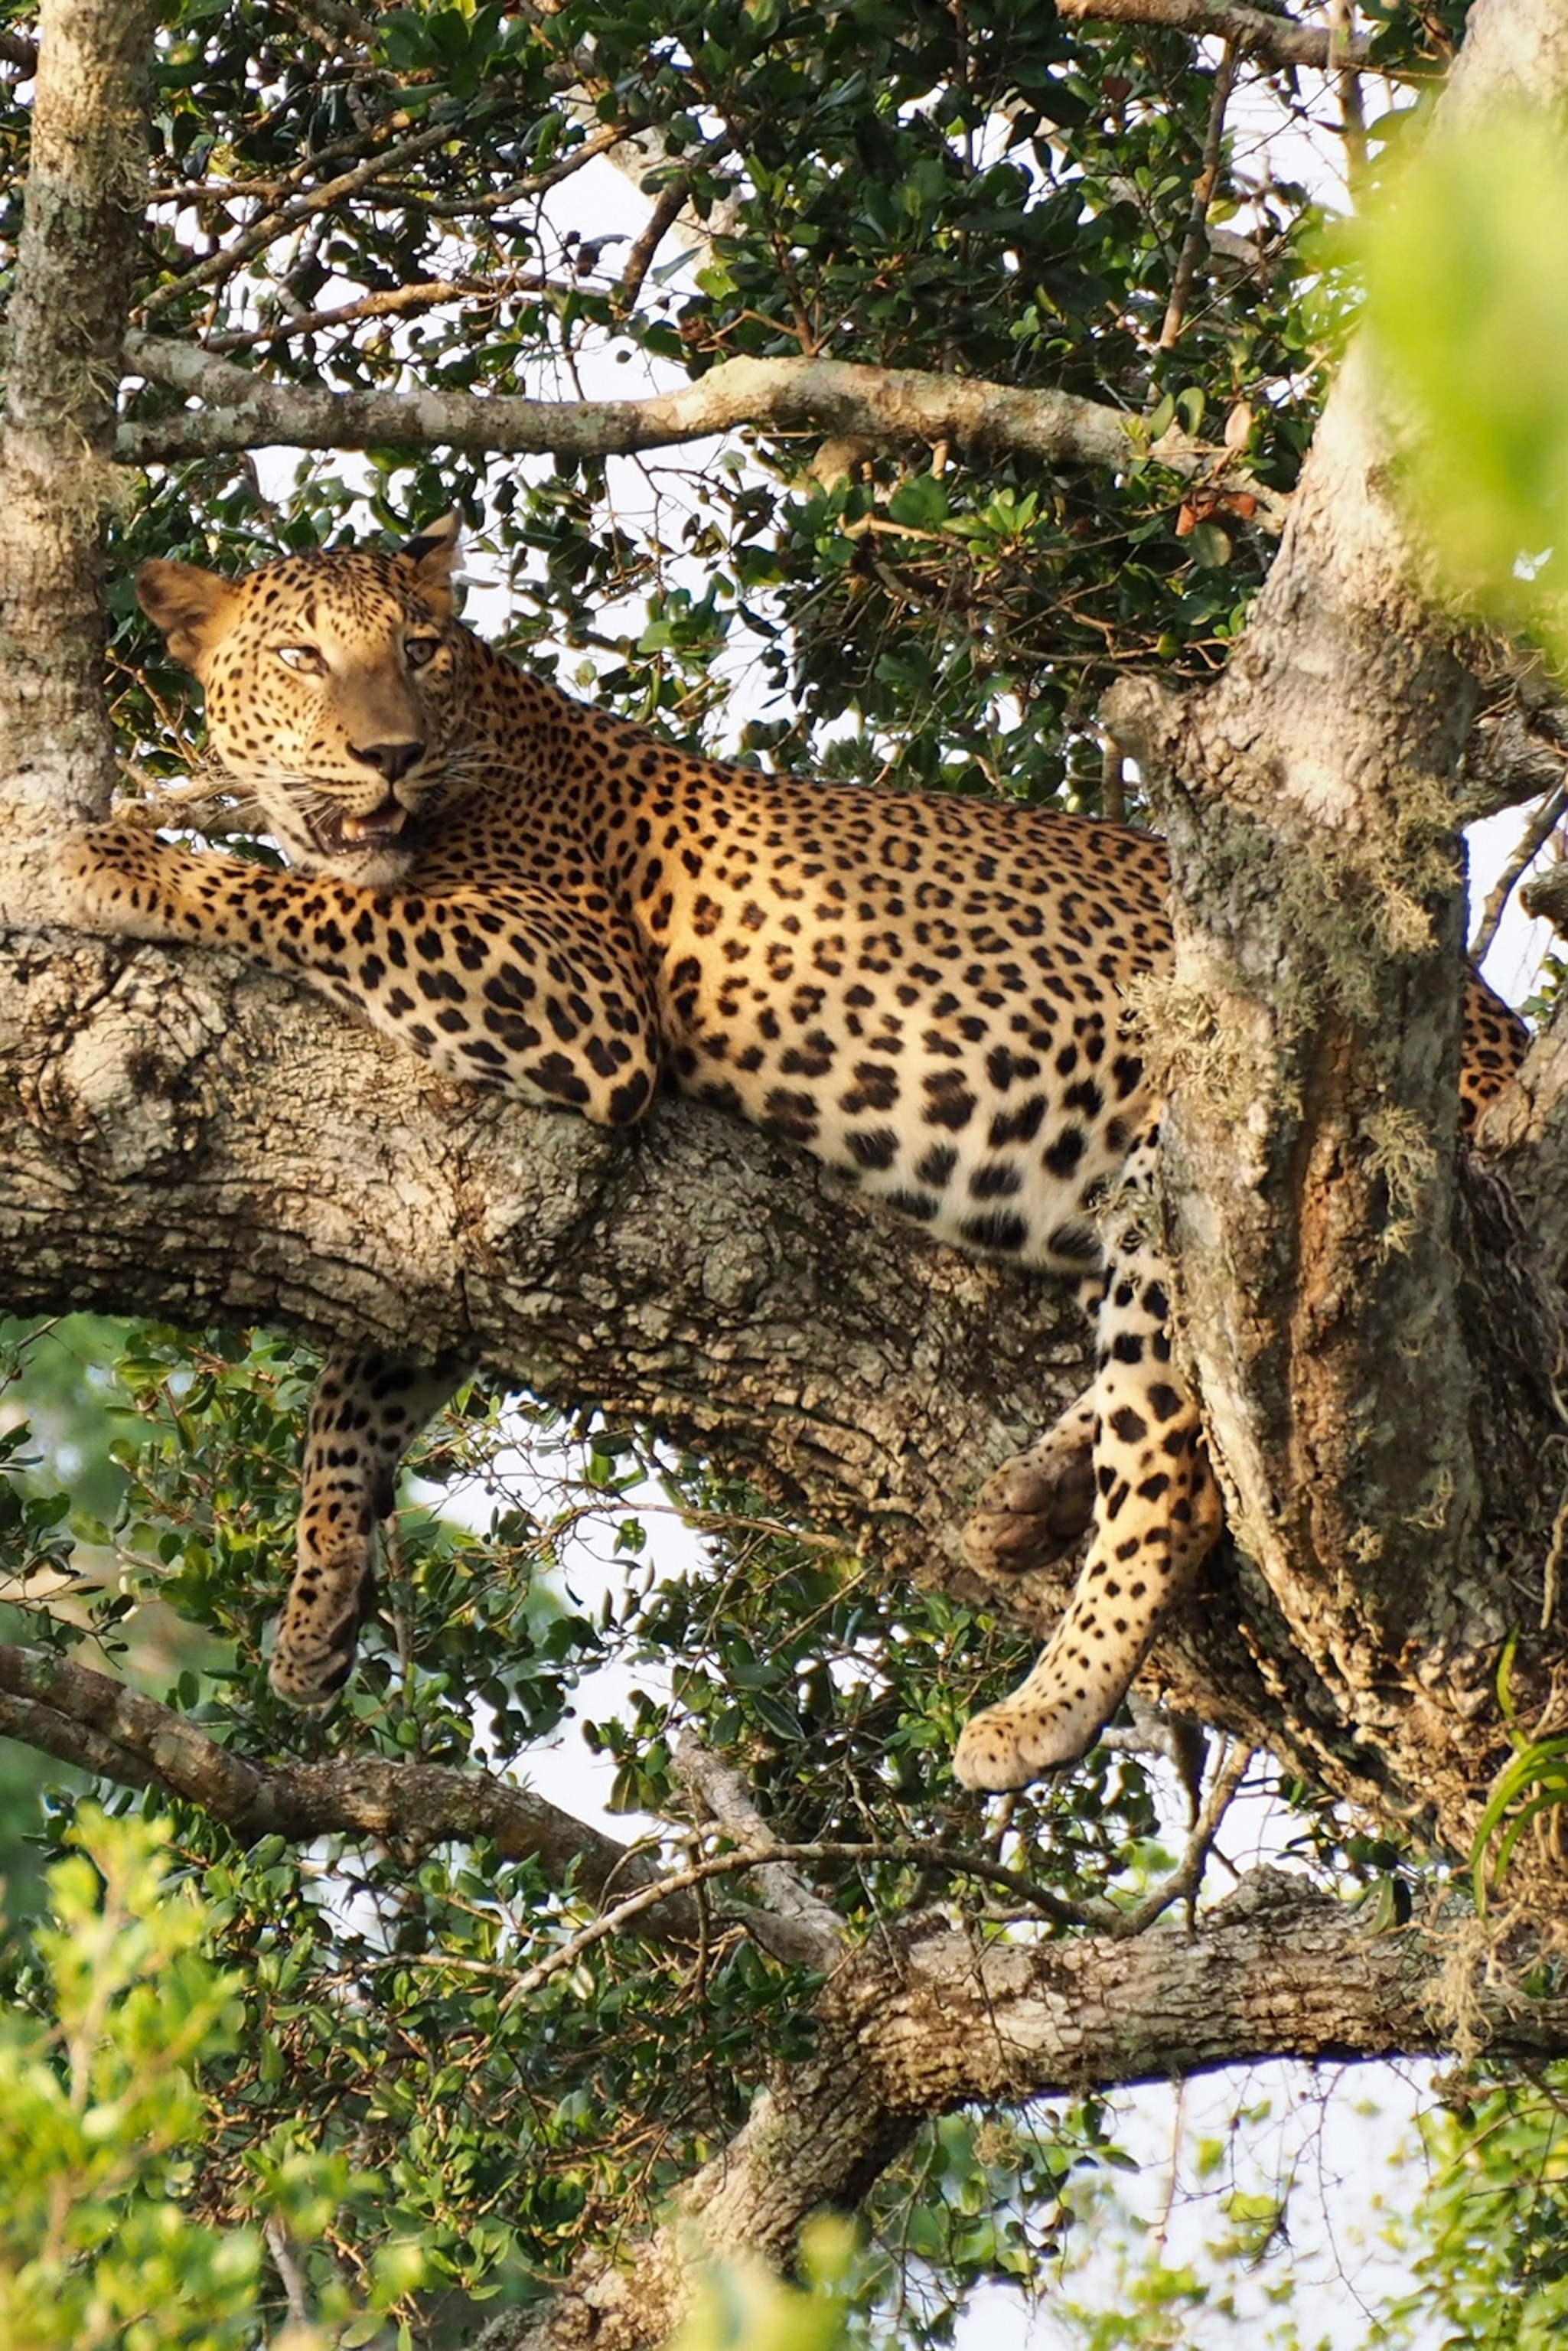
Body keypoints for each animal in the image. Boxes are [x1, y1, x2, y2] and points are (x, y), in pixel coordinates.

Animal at [61, 516, 1531, 1790]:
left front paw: (117, 860)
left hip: (1224, 1148)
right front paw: (316, 1605)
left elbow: (297, 899)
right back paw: (1024, 1494)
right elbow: (355, 1377)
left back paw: (1044, 1701)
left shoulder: (571, 993)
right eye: (302, 657)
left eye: (418, 647)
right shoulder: (440, 1200)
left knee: (1178, 1458)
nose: (387, 756)